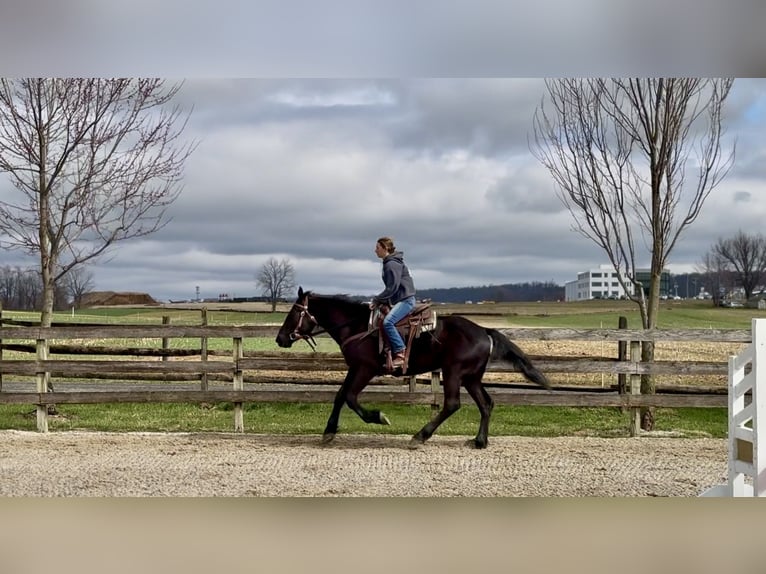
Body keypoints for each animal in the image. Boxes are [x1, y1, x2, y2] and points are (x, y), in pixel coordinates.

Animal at [276, 287, 550, 449]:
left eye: (293, 313)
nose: (280, 338)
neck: (357, 326)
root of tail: (484, 331)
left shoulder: (365, 369)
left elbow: (351, 398)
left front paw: (379, 417)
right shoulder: (354, 369)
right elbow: (340, 396)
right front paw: (329, 431)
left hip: (454, 372)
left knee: (452, 404)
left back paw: (420, 436)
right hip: (471, 377)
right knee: (486, 404)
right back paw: (480, 440)